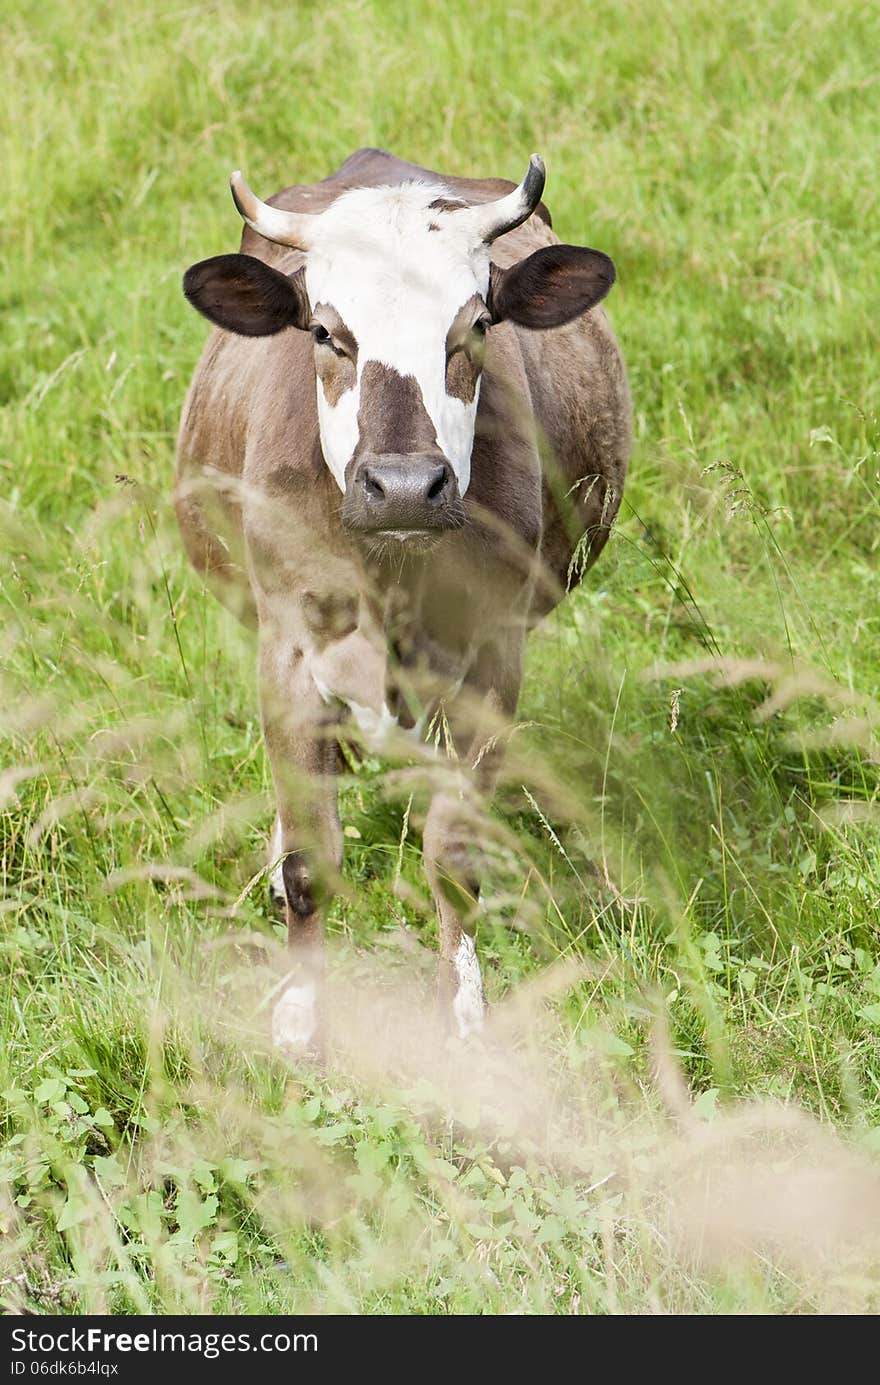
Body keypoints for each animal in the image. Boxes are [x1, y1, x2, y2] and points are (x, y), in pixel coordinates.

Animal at [175, 146, 629, 1047]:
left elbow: (453, 854)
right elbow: (310, 856)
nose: (406, 486)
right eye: (325, 331)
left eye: (477, 324)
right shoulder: (287, 650)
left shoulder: (492, 659)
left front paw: (463, 1007)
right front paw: (300, 1013)